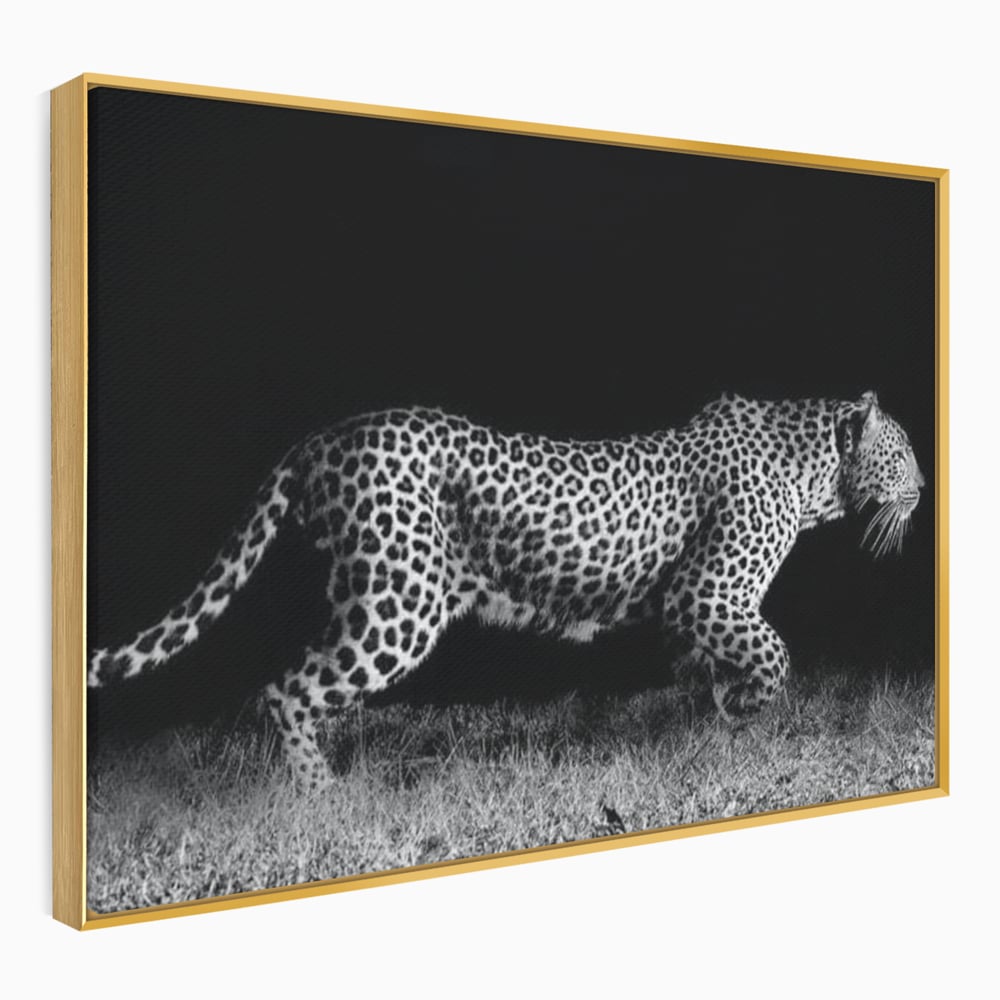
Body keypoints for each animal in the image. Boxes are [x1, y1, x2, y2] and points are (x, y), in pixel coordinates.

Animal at [88, 390, 925, 790]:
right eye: (905, 450)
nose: (923, 486)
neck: (814, 474)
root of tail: (324, 437)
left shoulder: (692, 614)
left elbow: (710, 673)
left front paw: (714, 728)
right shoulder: (708, 594)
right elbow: (773, 654)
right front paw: (747, 708)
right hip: (398, 603)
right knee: (285, 689)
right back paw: (322, 797)